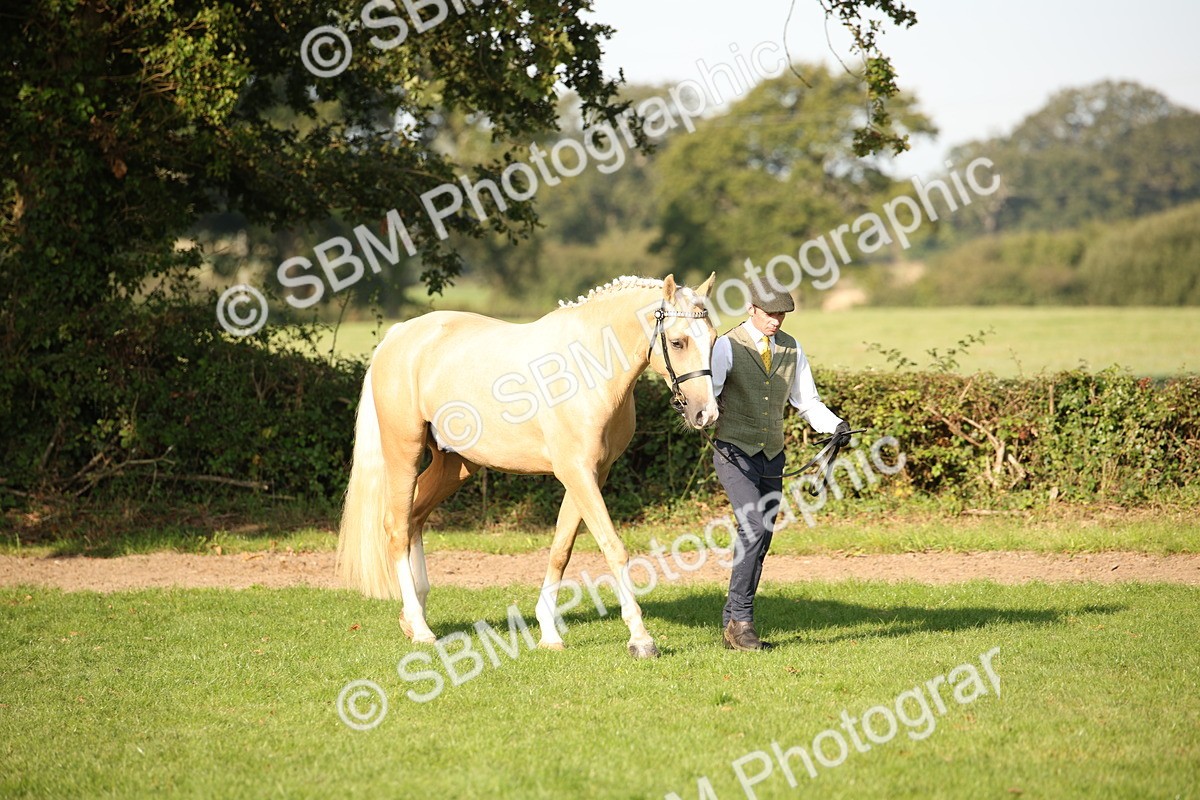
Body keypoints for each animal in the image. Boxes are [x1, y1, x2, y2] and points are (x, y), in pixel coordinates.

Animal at [337, 273, 718, 658]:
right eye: (677, 341)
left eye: (714, 338)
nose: (706, 414)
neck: (587, 367)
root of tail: (399, 334)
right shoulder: (577, 473)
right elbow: (614, 548)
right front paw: (641, 639)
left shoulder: (591, 475)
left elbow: (561, 550)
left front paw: (549, 633)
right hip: (404, 452)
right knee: (398, 527)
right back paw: (419, 627)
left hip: (455, 465)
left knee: (415, 517)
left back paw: (414, 613)